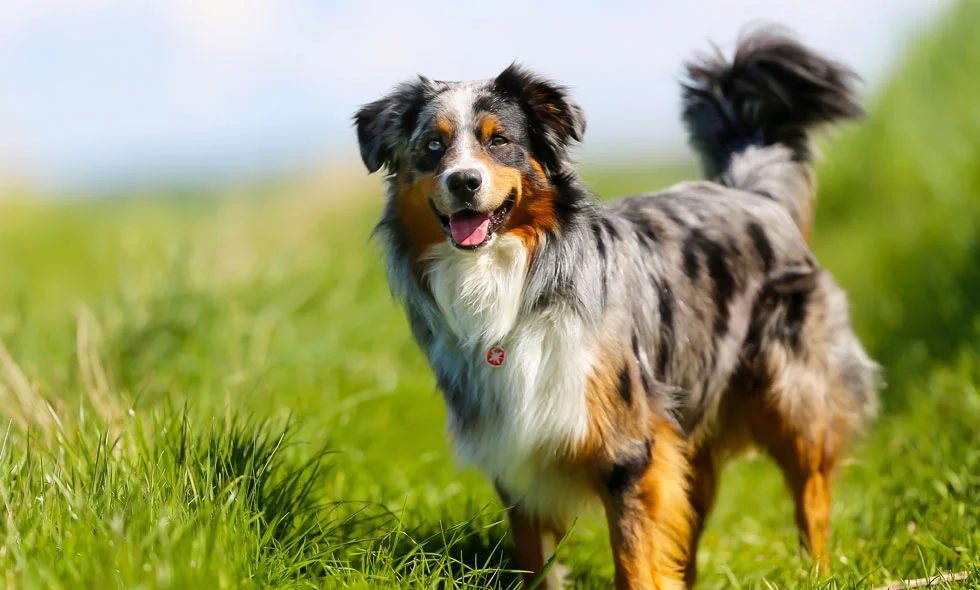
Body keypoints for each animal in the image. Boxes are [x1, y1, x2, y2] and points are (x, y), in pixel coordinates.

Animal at [354, 28, 880, 590]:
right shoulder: (515, 453)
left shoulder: (628, 449)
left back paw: (818, 571)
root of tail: (754, 194)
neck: (509, 282)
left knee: (811, 493)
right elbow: (538, 563)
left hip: (791, 397)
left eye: (500, 141)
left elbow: (634, 559)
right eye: (433, 146)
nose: (463, 182)